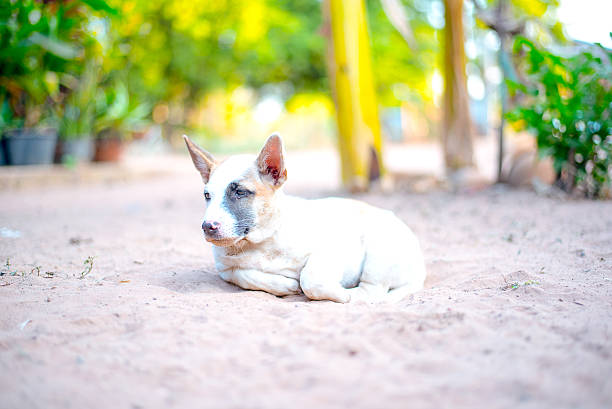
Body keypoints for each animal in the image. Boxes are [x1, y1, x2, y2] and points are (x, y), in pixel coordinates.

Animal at [184, 134, 428, 302]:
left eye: (240, 192)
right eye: (207, 195)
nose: (207, 226)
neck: (263, 241)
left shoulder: (335, 249)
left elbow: (310, 277)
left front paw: (339, 294)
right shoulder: (225, 269)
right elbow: (241, 274)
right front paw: (284, 285)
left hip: (379, 253)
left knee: (373, 290)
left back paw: (355, 295)